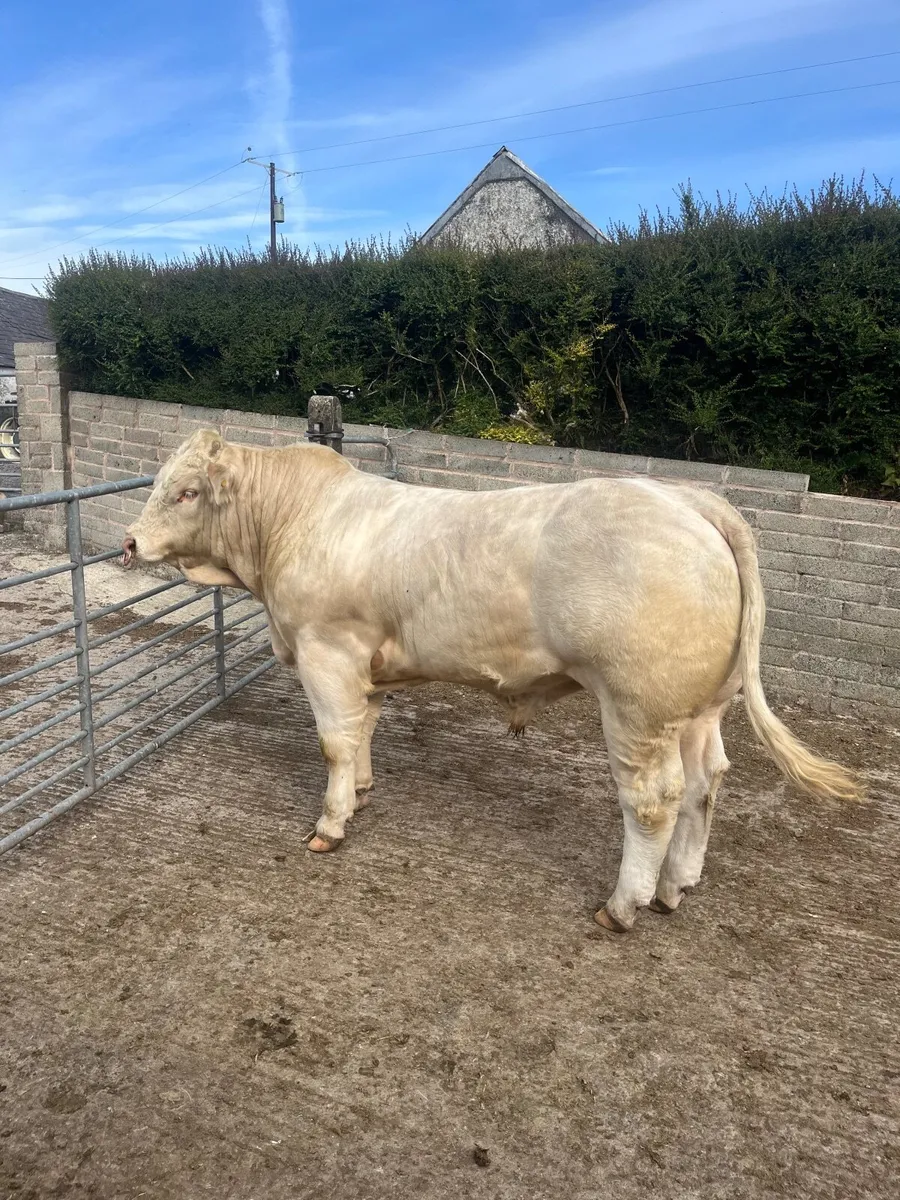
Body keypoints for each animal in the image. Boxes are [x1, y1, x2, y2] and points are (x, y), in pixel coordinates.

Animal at [122, 430, 860, 932]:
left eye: (186, 491)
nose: (129, 542)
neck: (291, 525)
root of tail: (690, 498)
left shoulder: (325, 649)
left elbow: (334, 740)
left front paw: (330, 823)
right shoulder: (367, 660)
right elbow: (364, 728)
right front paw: (360, 789)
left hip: (638, 708)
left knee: (654, 801)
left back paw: (624, 905)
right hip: (701, 708)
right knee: (708, 782)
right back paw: (677, 885)